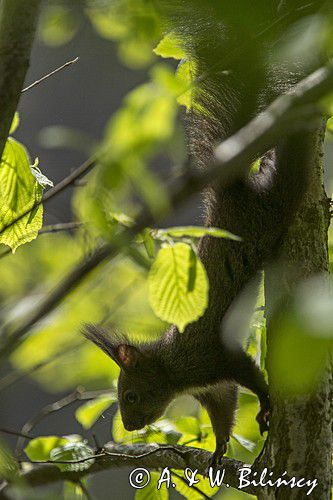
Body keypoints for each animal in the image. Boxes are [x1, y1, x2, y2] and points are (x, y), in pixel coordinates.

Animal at [82, 0, 320, 468]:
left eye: (130, 395)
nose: (131, 427)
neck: (175, 368)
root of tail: (231, 193)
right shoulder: (212, 387)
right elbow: (224, 408)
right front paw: (221, 445)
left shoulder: (212, 357)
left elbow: (250, 377)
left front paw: (267, 404)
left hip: (274, 205)